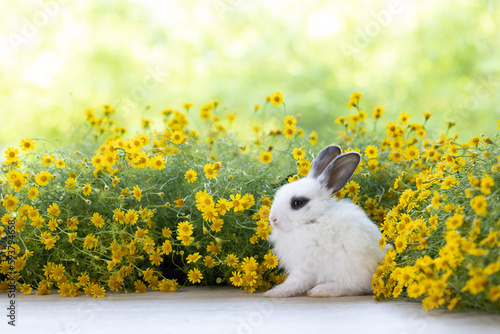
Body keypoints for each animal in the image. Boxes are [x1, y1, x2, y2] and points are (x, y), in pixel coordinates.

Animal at [264, 144, 388, 298]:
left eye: (297, 203)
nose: (273, 218)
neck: (312, 221)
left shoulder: (304, 265)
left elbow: (294, 282)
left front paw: (274, 292)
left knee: (353, 287)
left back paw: (322, 290)